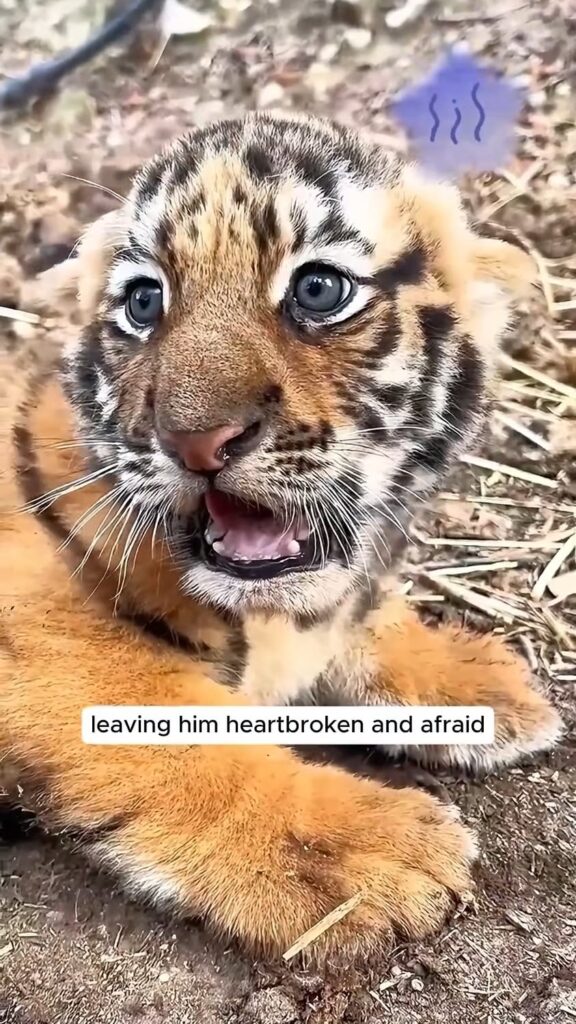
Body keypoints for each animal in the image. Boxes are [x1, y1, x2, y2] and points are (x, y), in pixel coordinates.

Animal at [0, 111, 563, 960]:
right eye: (144, 303)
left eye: (318, 289)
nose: (196, 441)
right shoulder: (44, 626)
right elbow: (182, 730)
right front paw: (373, 850)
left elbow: (356, 621)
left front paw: (475, 679)